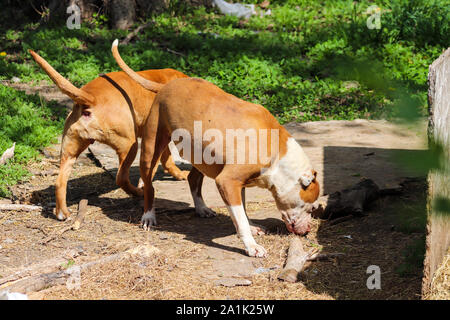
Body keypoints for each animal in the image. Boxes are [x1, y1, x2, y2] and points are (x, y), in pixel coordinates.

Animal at [29, 50, 189, 221]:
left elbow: (167, 160)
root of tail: (89, 97)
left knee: (60, 182)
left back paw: (62, 213)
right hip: (129, 145)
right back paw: (137, 192)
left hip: (69, 151)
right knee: (121, 177)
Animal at [111, 40, 320, 258]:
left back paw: (202, 208)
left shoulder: (238, 183)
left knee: (193, 179)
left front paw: (252, 227)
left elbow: (242, 212)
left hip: (201, 156)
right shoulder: (227, 181)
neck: (278, 154)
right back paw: (149, 216)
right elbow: (240, 219)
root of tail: (166, 85)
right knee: (149, 185)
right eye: (312, 208)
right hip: (151, 148)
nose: (308, 230)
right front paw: (251, 246)